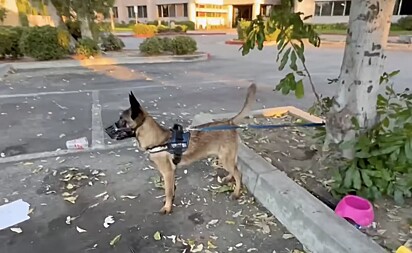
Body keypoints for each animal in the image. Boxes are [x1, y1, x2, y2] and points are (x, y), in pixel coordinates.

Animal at [109, 83, 258, 213]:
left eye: (122, 120)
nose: (106, 130)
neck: (158, 140)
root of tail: (229, 122)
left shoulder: (167, 173)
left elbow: (168, 191)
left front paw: (168, 207)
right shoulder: (171, 173)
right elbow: (172, 189)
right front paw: (170, 201)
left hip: (226, 159)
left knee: (239, 174)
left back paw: (236, 193)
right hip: (225, 157)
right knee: (235, 170)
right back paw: (228, 177)